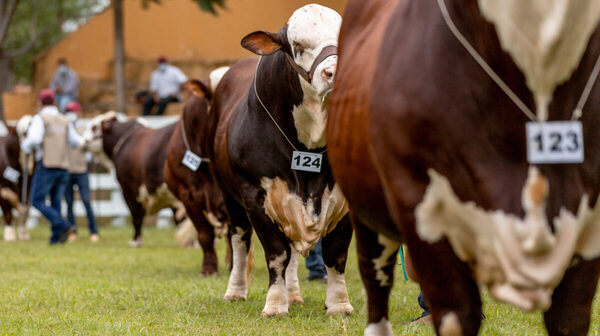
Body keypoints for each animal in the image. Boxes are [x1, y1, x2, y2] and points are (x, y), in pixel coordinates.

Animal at [209, 3, 354, 316]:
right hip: (228, 195)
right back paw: (235, 291)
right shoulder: (255, 197)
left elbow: (335, 254)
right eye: (297, 45)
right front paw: (275, 305)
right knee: (240, 242)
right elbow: (276, 254)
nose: (334, 73)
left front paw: (339, 304)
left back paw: (294, 294)